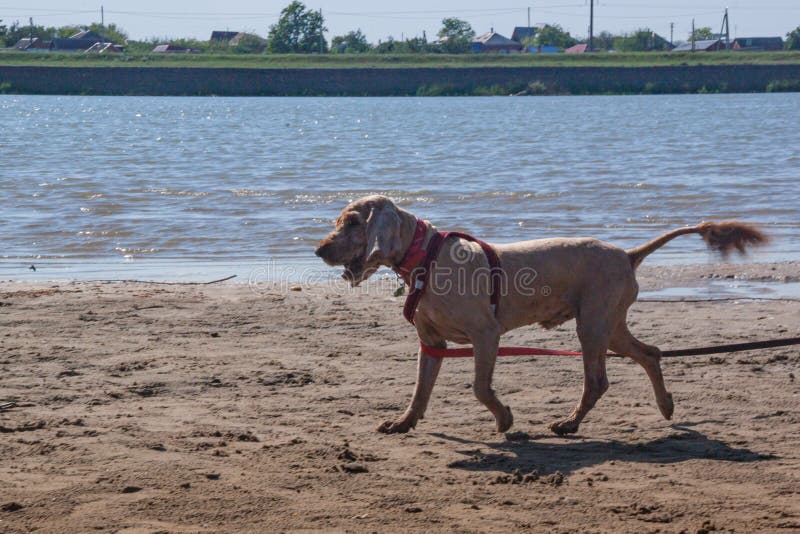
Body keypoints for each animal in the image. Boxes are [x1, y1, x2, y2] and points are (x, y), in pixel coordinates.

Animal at [316, 195, 764, 438]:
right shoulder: (432, 343)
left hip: (593, 326)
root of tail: (627, 254)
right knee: (650, 353)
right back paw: (666, 406)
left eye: (353, 222)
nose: (319, 250)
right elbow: (419, 392)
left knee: (598, 381)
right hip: (610, 325)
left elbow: (480, 387)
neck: (426, 257)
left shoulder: (487, 334)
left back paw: (569, 424)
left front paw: (504, 419)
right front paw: (402, 423)